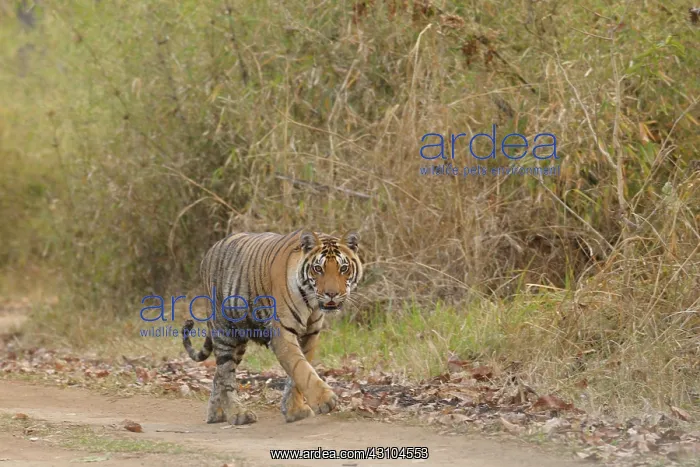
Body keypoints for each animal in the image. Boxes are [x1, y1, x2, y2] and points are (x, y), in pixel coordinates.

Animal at [182, 229, 363, 425]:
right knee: (226, 375)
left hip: (240, 340)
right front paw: (324, 400)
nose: (331, 294)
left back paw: (216, 414)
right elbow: (301, 368)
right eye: (318, 268)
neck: (311, 302)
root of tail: (209, 252)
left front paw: (295, 411)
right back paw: (238, 414)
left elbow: (298, 373)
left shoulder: (310, 334)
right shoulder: (282, 332)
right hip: (224, 332)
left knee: (218, 376)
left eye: (343, 268)